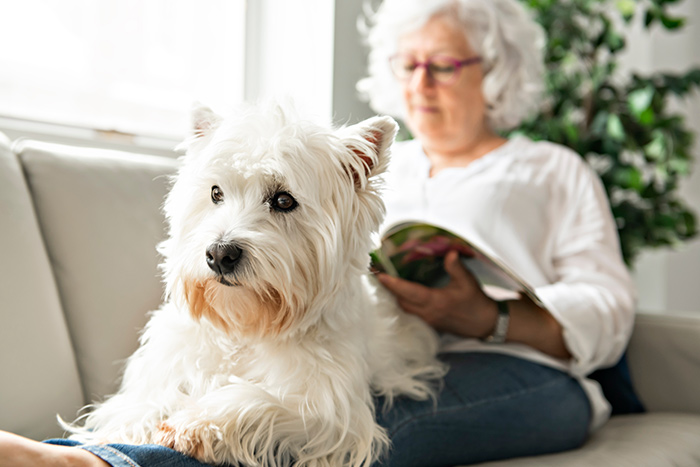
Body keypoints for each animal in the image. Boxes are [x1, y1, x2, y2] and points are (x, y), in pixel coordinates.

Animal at [64, 102, 442, 467]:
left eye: (284, 200)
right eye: (216, 193)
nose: (219, 254)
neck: (245, 326)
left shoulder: (332, 411)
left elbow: (258, 399)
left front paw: (197, 424)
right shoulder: (168, 363)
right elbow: (144, 400)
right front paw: (119, 430)